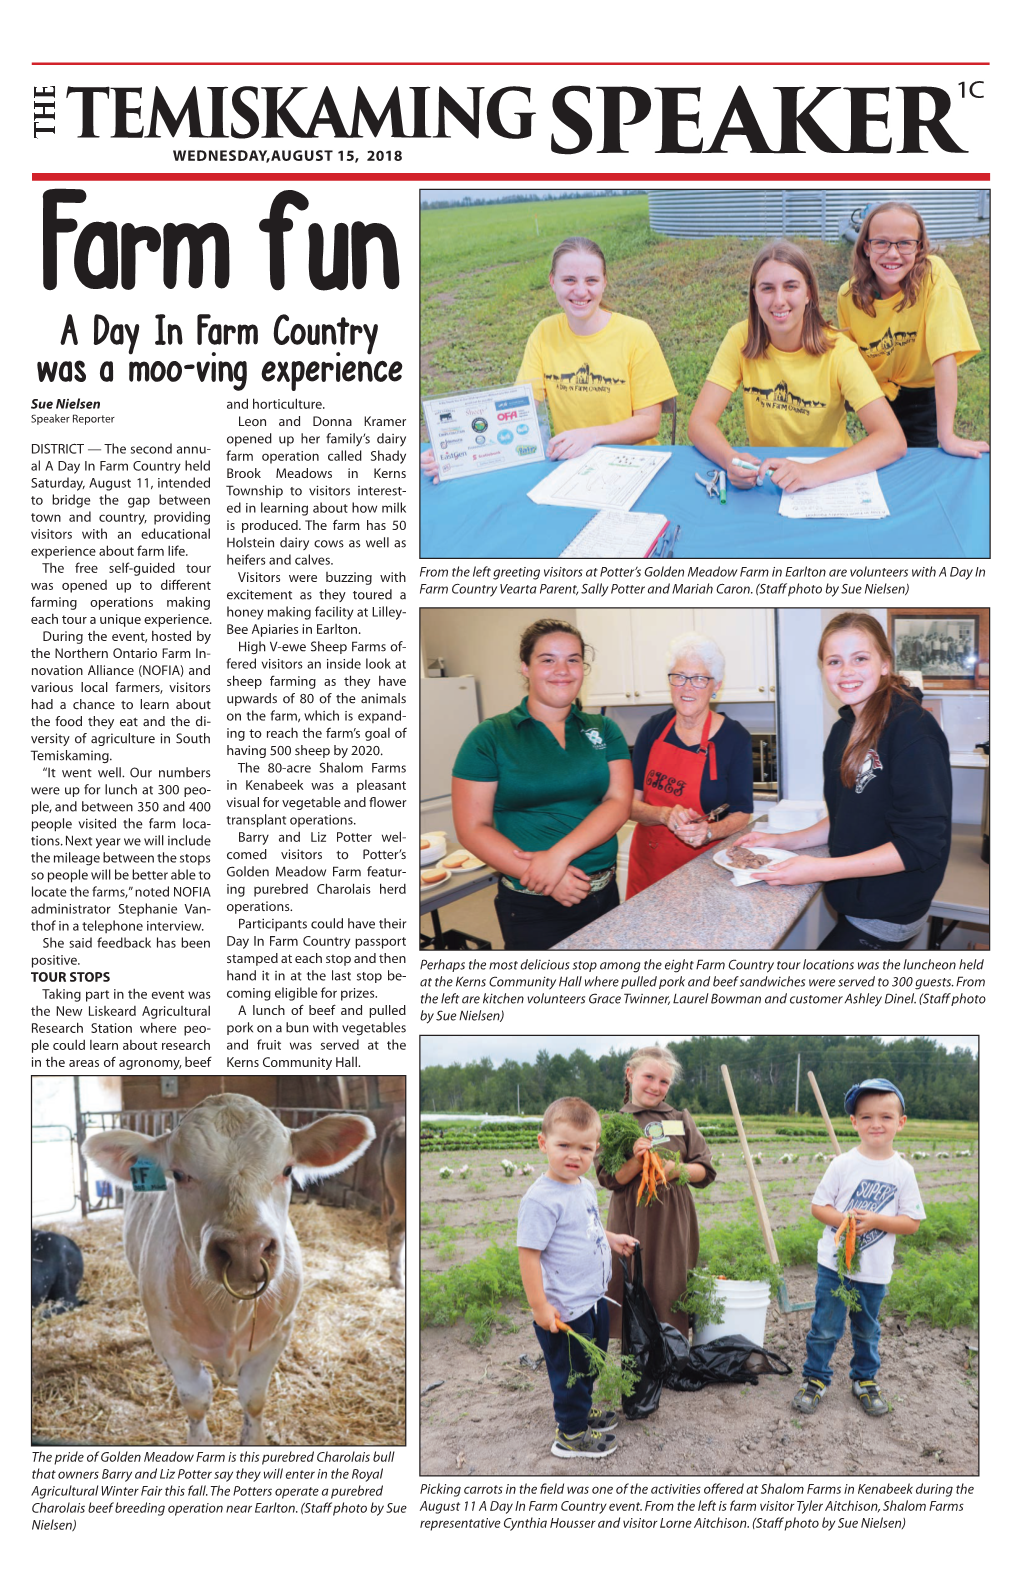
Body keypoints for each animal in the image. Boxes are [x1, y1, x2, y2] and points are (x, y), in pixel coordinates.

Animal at [80, 1096, 375, 1443]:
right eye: (178, 1174)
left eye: (287, 1169)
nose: (245, 1250)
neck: (230, 1311)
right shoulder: (169, 1339)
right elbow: (196, 1399)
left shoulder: (279, 1333)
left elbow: (254, 1397)